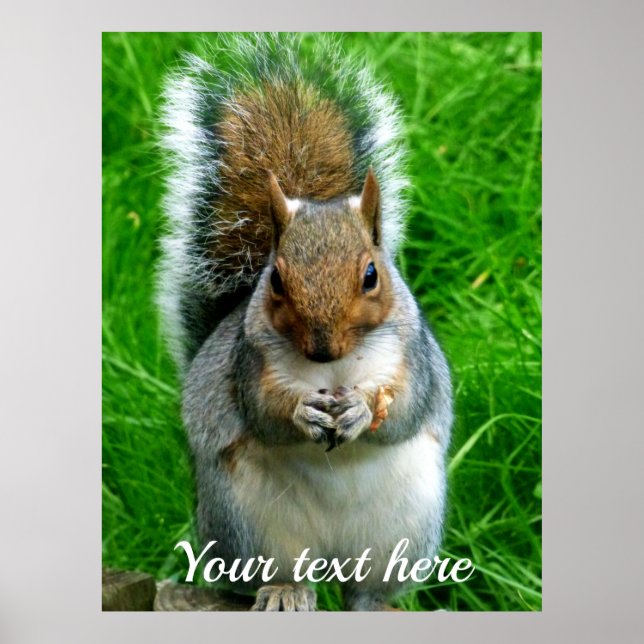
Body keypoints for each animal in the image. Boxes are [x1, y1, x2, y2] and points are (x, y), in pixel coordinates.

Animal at [158, 33, 453, 611]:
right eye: (275, 279)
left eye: (371, 274)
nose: (321, 347)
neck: (336, 369)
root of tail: (332, 554)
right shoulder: (248, 361)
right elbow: (263, 412)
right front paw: (302, 412)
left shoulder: (413, 359)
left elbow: (405, 406)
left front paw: (362, 409)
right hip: (247, 525)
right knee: (281, 569)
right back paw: (284, 590)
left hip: (403, 530)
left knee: (366, 586)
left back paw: (374, 601)